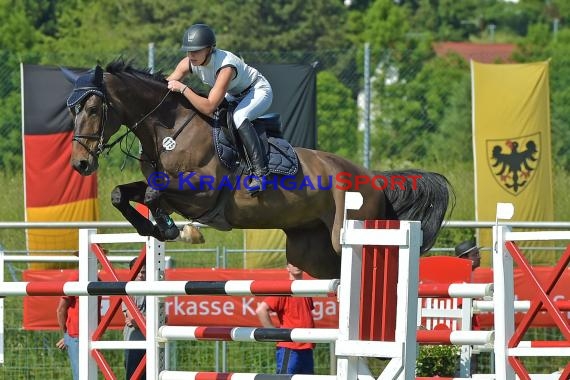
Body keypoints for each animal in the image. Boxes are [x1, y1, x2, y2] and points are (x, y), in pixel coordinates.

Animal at [63, 60, 452, 280]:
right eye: (72, 110)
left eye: (94, 109)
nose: (81, 164)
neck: (170, 129)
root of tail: (373, 180)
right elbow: (122, 194)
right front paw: (155, 227)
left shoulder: (201, 194)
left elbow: (153, 193)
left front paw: (168, 226)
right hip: (310, 251)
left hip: (350, 231)